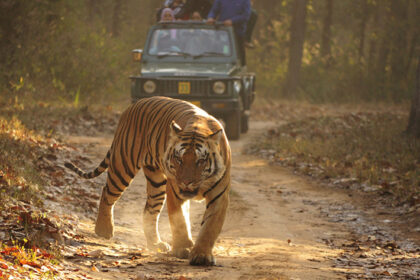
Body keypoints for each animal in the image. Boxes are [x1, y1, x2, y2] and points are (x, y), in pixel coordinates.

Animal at [64, 95, 231, 264]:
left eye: (200, 161)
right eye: (179, 159)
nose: (186, 182)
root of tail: (133, 106)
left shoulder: (219, 196)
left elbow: (210, 227)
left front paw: (201, 255)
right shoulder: (175, 191)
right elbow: (179, 221)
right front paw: (182, 248)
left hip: (156, 182)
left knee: (149, 211)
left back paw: (155, 244)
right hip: (123, 165)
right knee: (107, 193)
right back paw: (104, 230)